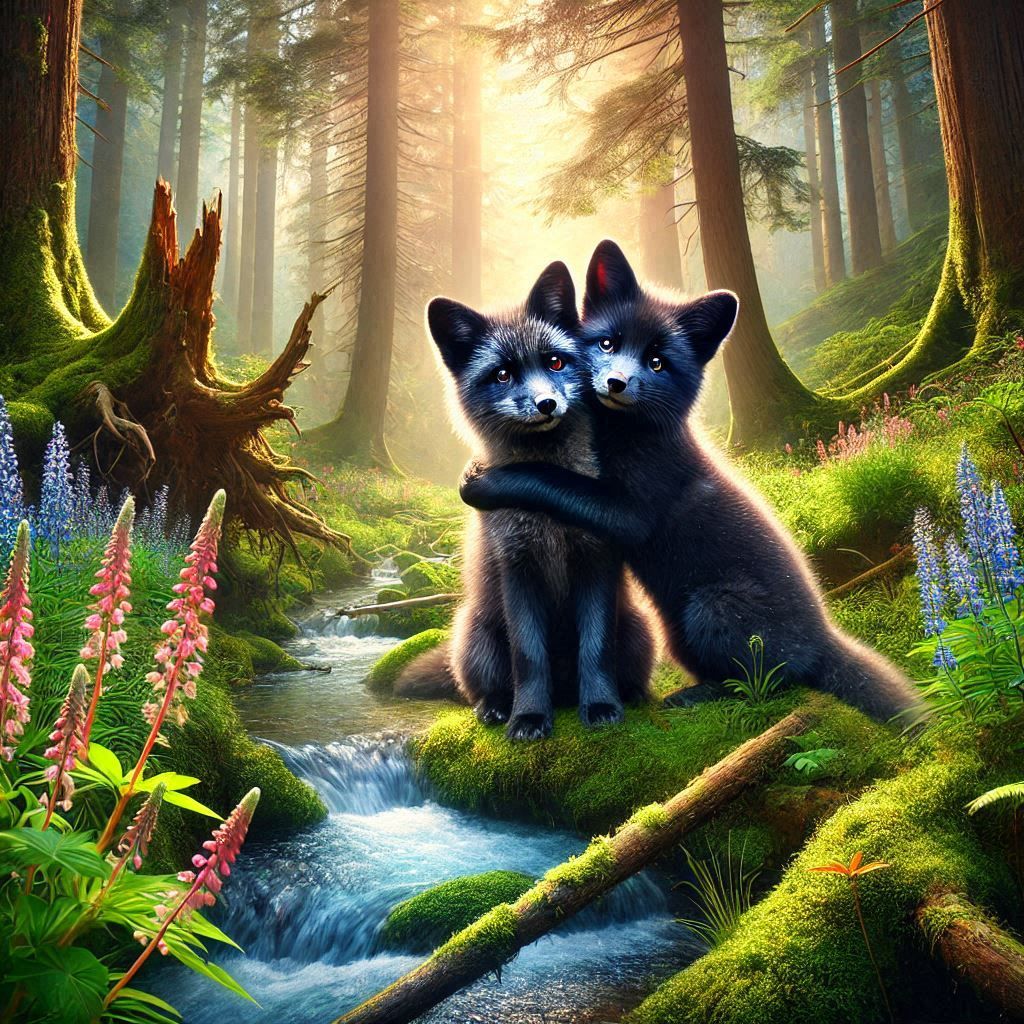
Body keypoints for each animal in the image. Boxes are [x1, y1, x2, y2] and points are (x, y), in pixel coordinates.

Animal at [396, 260, 654, 740]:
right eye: (502, 374)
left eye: (555, 361)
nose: (547, 403)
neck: (548, 496)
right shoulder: (517, 567)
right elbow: (529, 657)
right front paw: (529, 717)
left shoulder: (596, 560)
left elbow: (595, 649)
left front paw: (602, 706)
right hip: (476, 636)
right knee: (487, 685)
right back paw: (496, 707)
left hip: (639, 630)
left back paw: (629, 696)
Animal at [459, 240, 924, 725]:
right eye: (607, 342)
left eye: (657, 362)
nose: (616, 382)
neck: (622, 436)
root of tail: (823, 638)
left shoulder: (630, 513)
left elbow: (552, 478)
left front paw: (482, 481)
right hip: (678, 634)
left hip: (707, 609)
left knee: (772, 681)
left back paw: (695, 695)